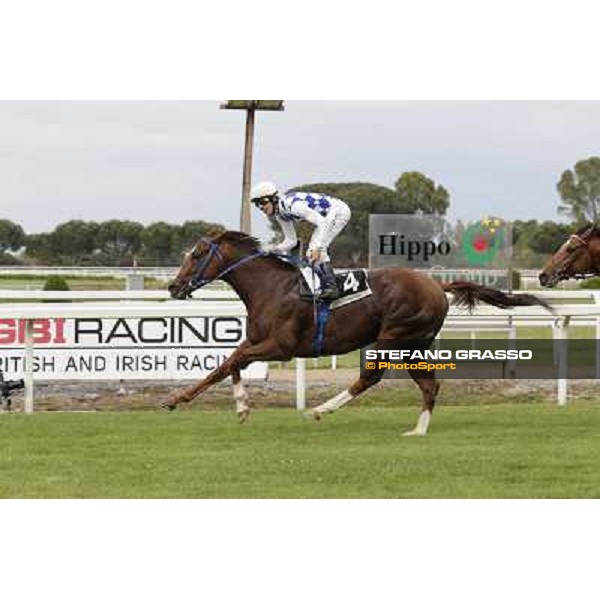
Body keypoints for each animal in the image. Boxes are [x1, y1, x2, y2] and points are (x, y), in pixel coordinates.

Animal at [164, 231, 548, 436]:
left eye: (197, 254)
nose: (173, 286)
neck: (271, 287)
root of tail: (437, 285)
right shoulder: (258, 340)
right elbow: (228, 364)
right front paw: (235, 406)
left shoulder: (281, 346)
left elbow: (231, 362)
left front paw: (180, 399)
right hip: (413, 345)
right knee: (430, 385)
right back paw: (418, 429)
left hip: (394, 337)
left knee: (370, 377)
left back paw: (319, 410)